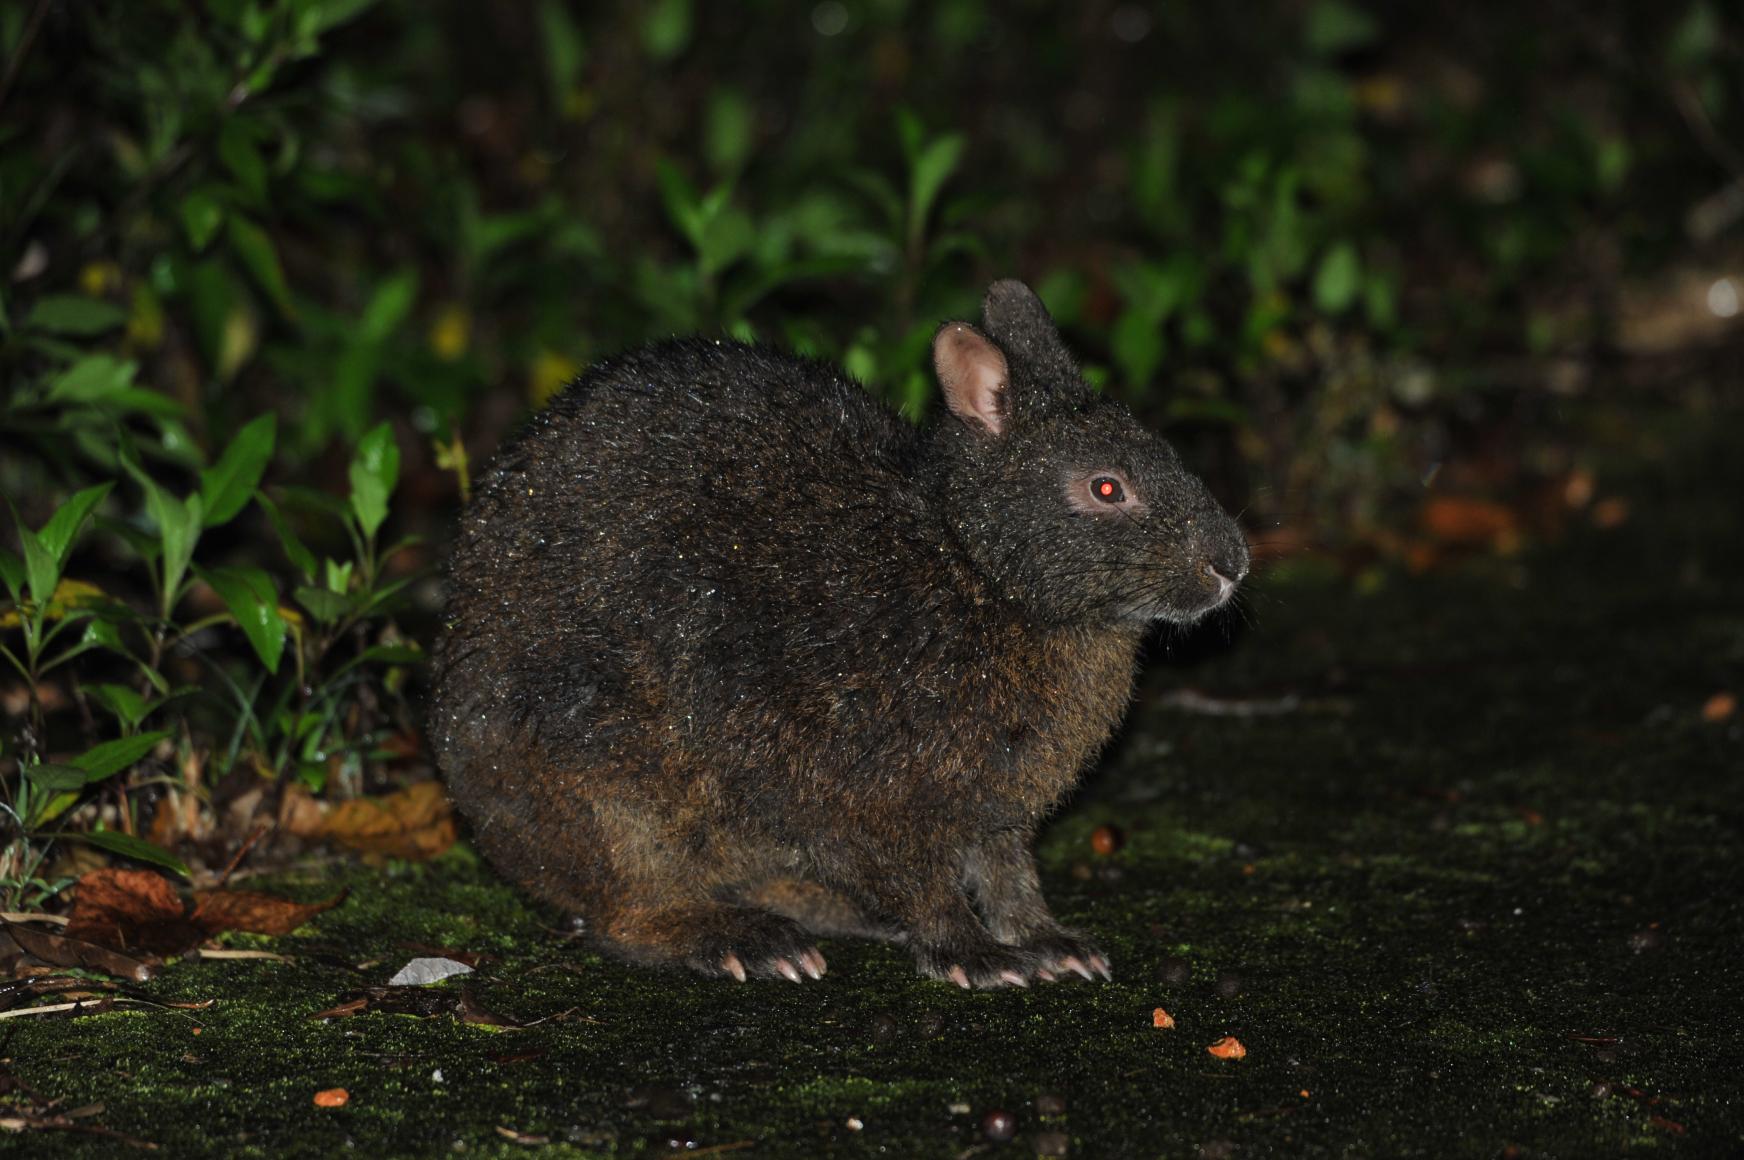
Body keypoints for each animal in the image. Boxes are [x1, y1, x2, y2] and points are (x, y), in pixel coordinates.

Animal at [436, 280, 1255, 983]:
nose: (1232, 563)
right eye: (1107, 488)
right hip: (611, 785)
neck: (975, 567)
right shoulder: (868, 794)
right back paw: (744, 941)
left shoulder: (994, 813)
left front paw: (1051, 944)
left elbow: (1009, 878)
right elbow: (925, 880)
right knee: (626, 915)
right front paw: (972, 955)